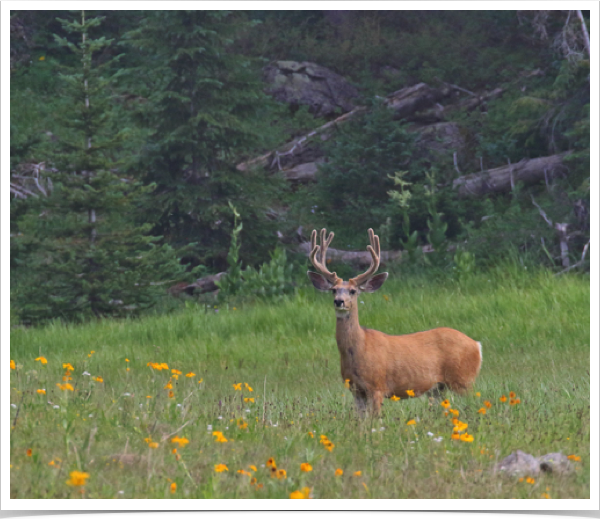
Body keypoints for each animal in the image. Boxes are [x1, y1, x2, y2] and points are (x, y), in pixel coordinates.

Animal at [308, 230, 480, 416]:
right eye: (333, 290)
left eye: (353, 291)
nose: (339, 301)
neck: (360, 347)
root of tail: (476, 345)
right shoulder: (356, 390)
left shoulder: (377, 385)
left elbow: (375, 418)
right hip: (438, 388)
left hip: (463, 379)